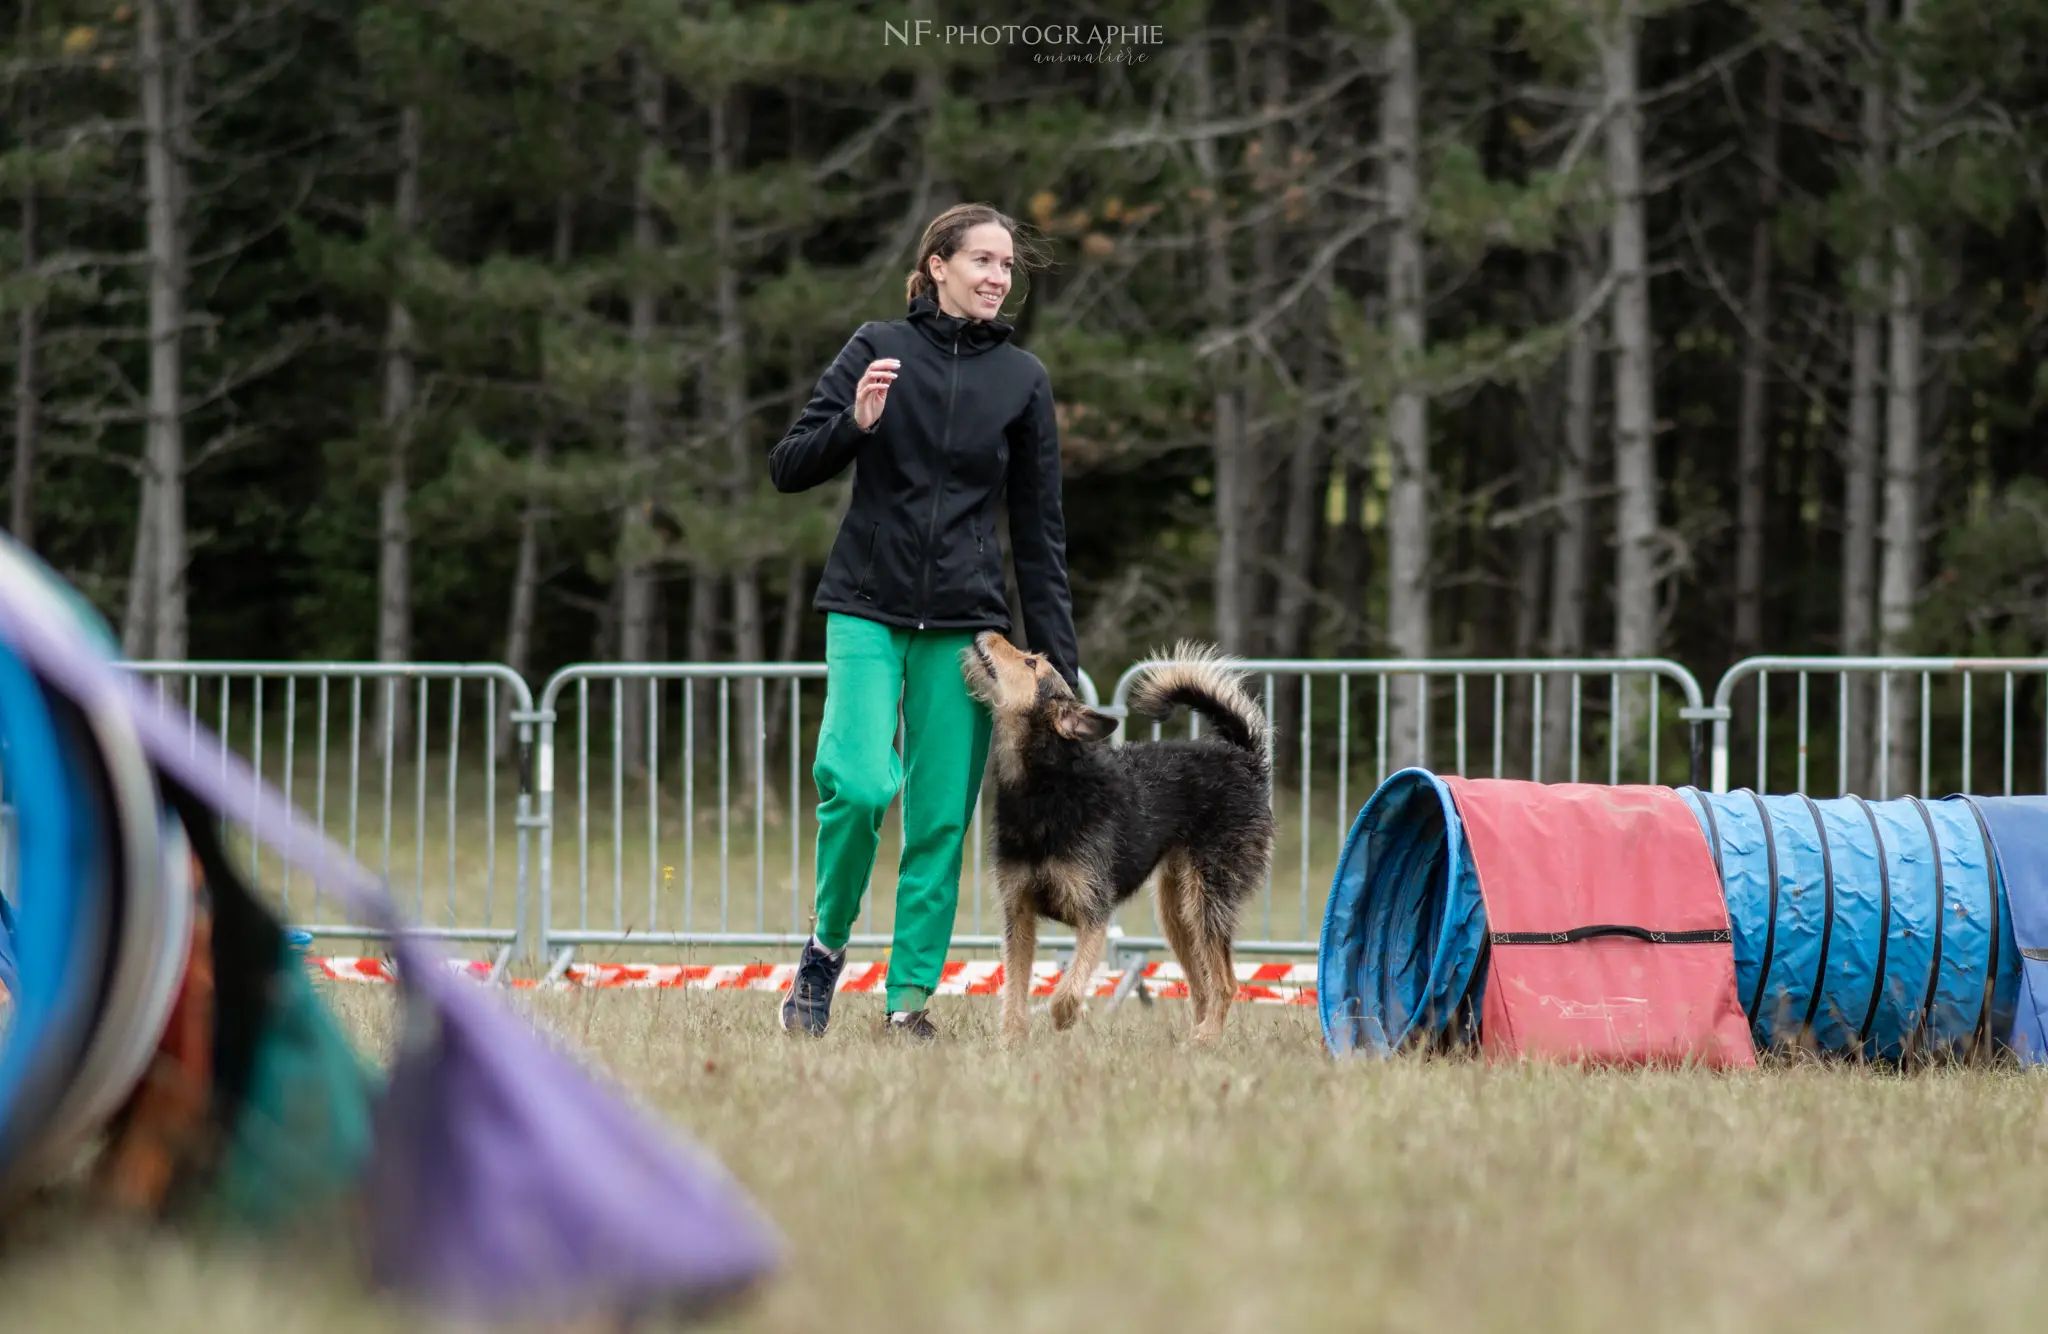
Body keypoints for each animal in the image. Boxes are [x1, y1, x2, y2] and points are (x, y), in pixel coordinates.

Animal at [954, 631, 1269, 1049]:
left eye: (1031, 663)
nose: (986, 633)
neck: (1047, 788)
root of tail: (1244, 759)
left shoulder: (1093, 914)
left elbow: (1069, 987)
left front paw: (1066, 1019)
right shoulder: (1018, 913)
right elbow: (1015, 987)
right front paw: (1011, 1041)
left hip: (1209, 898)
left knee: (1226, 982)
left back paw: (1207, 1037)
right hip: (1176, 912)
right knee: (1201, 984)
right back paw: (1196, 1038)